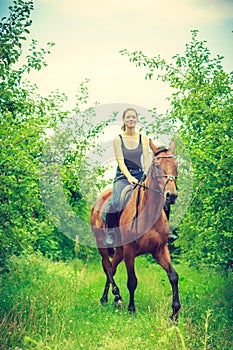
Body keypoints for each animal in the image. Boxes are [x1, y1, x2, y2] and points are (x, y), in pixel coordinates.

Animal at [90, 139, 181, 320]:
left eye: (176, 165)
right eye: (157, 166)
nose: (171, 195)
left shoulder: (160, 249)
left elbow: (173, 276)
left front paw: (174, 313)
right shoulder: (129, 250)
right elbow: (132, 280)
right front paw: (132, 308)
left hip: (119, 251)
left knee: (112, 268)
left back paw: (106, 299)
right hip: (103, 245)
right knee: (107, 267)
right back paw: (117, 297)